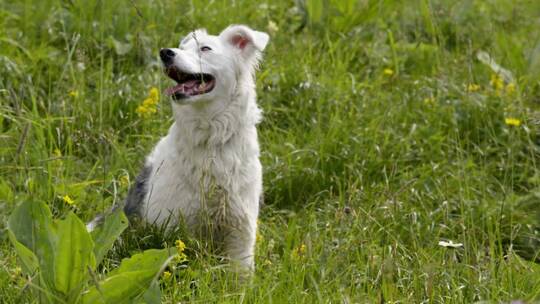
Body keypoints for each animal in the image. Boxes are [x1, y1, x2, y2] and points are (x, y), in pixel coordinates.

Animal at [123, 24, 268, 270]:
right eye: (182, 47)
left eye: (205, 48)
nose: (165, 53)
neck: (209, 137)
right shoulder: (169, 228)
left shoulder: (240, 234)